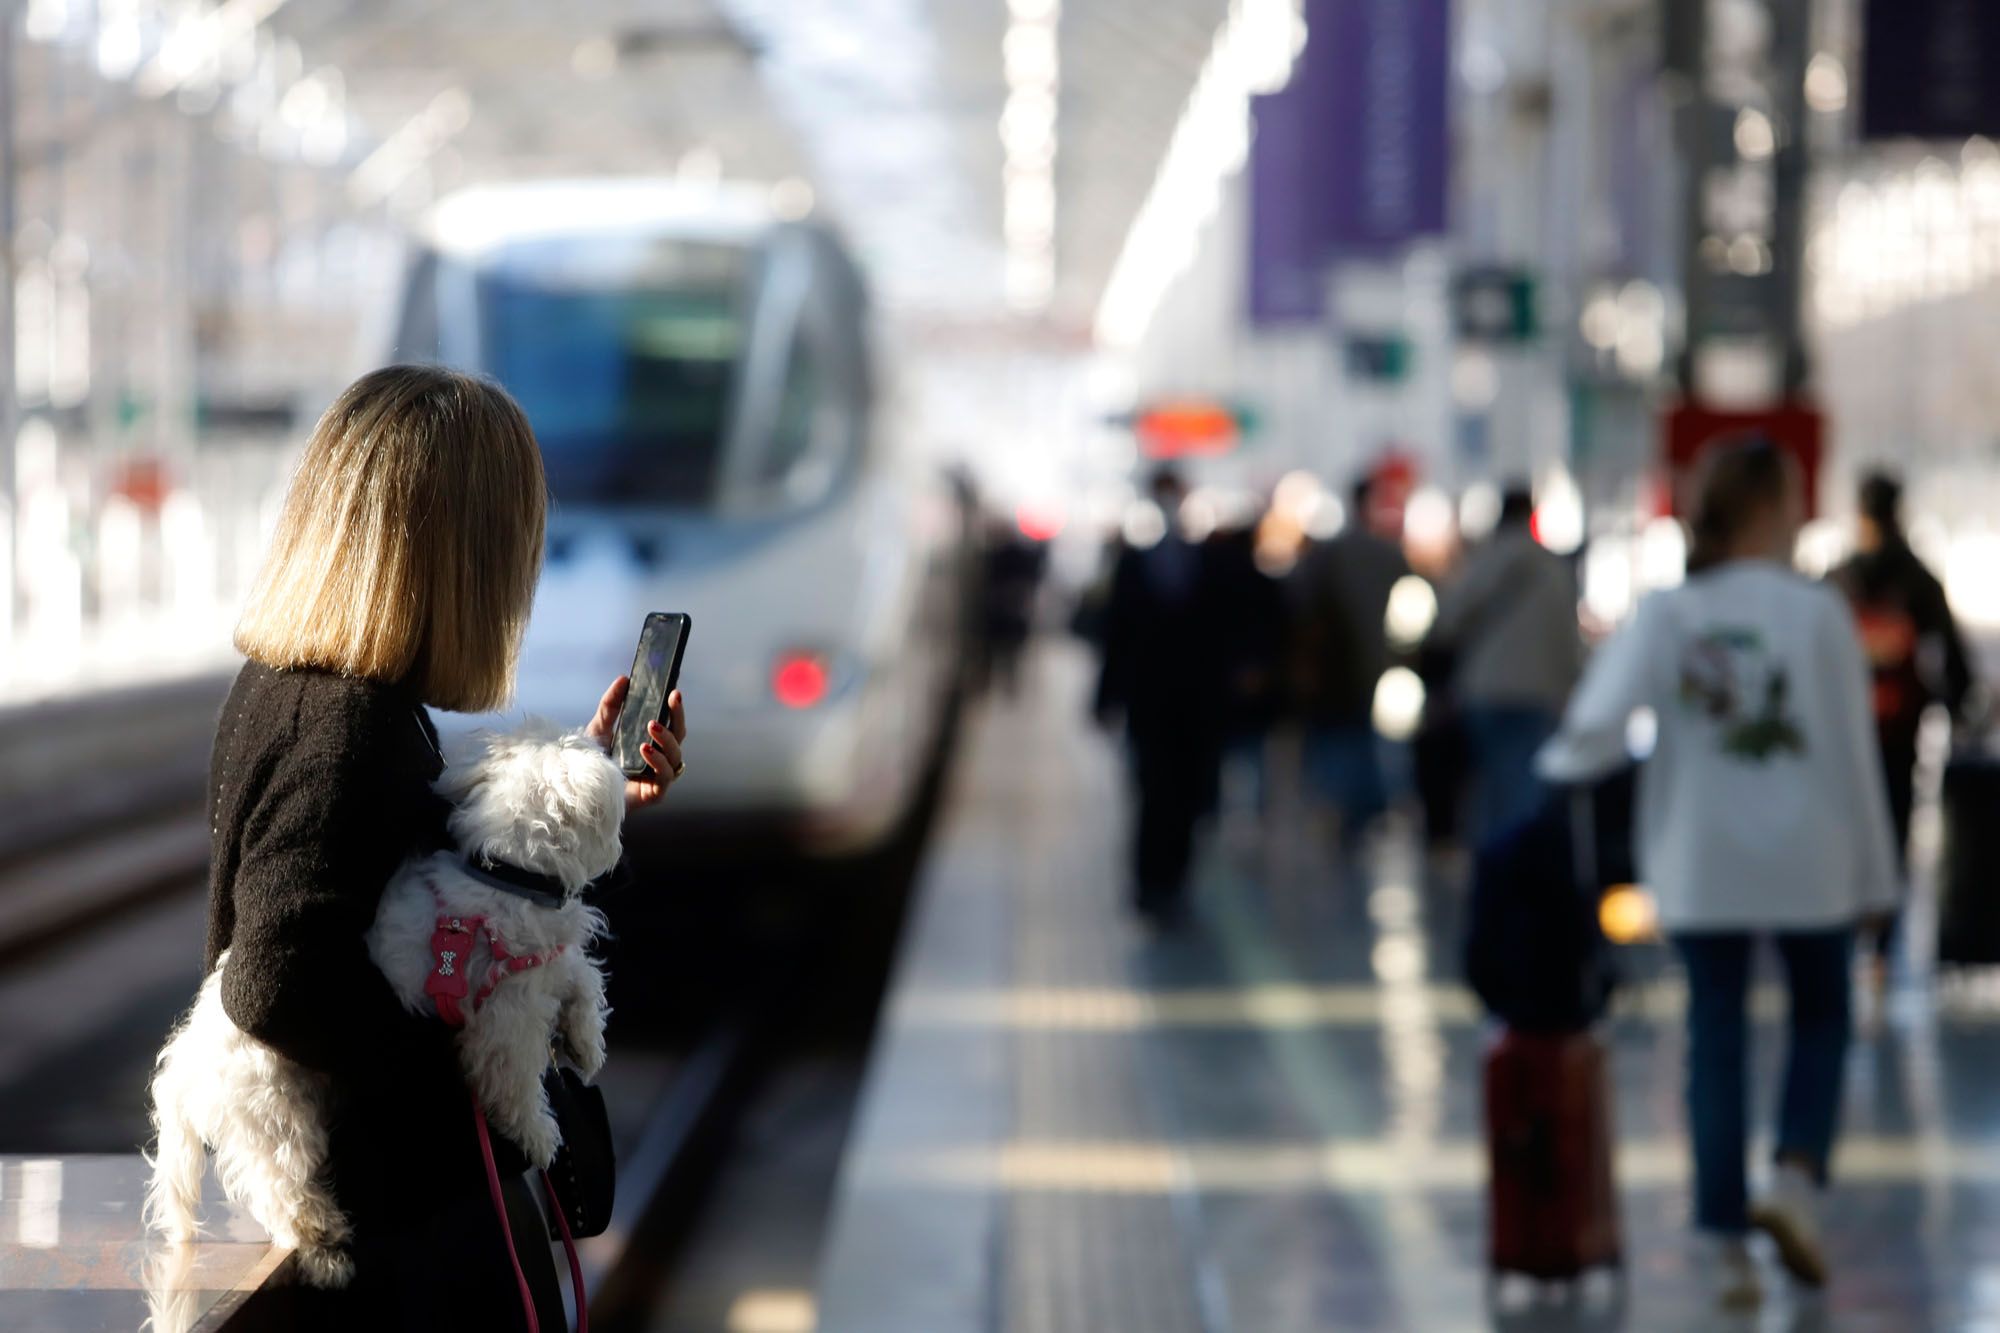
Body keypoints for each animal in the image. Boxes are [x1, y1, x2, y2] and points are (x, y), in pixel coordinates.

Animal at [146, 720, 624, 1280]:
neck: (508, 873)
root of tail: (185, 1064)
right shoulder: (502, 1024)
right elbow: (516, 1088)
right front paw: (541, 1137)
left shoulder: (543, 967)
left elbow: (581, 976)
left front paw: (586, 1041)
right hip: (274, 1116)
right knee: (281, 1189)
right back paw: (324, 1247)